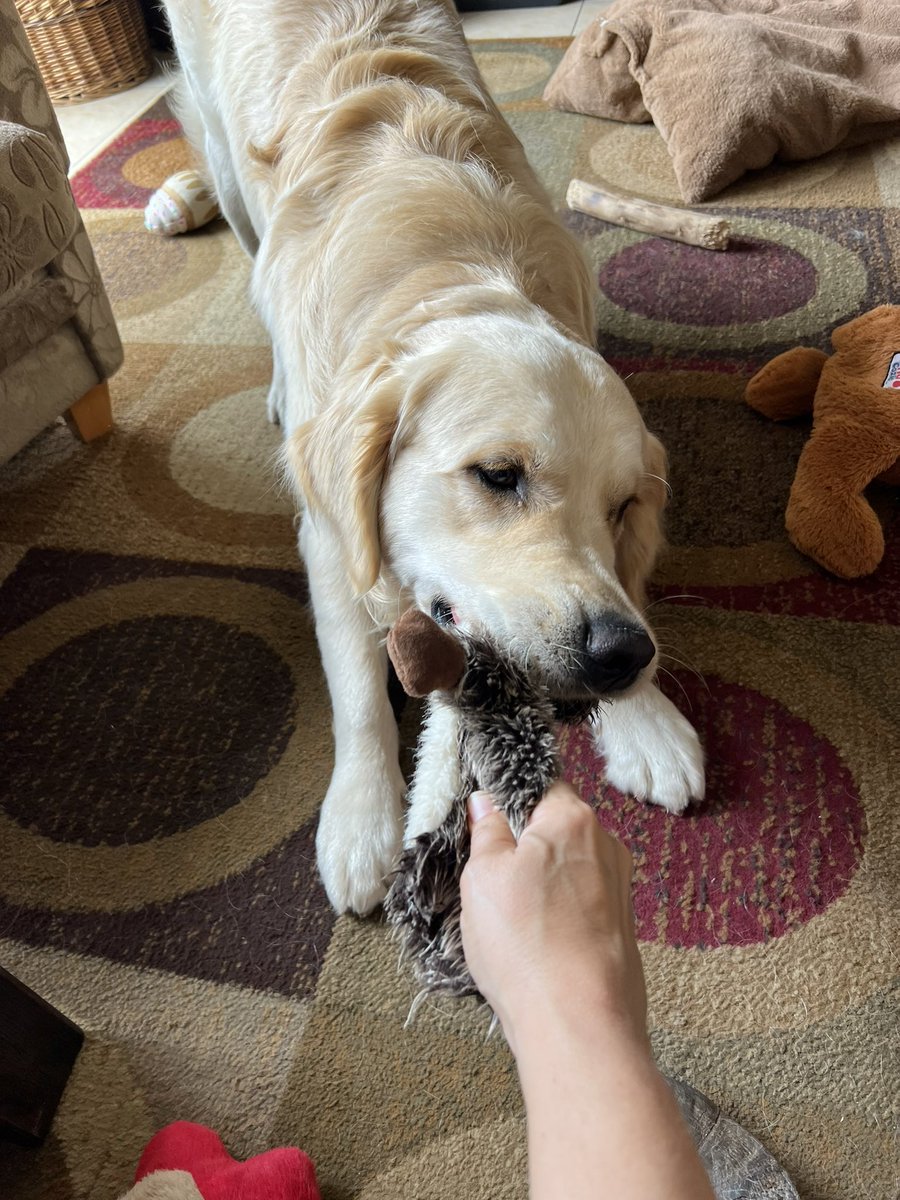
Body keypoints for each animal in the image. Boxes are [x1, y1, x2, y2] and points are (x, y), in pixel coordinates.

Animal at [165, 0, 710, 912]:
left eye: (623, 507)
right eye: (498, 476)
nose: (620, 655)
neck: (453, 265)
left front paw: (648, 718)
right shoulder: (327, 535)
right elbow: (355, 684)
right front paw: (361, 816)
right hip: (223, 158)